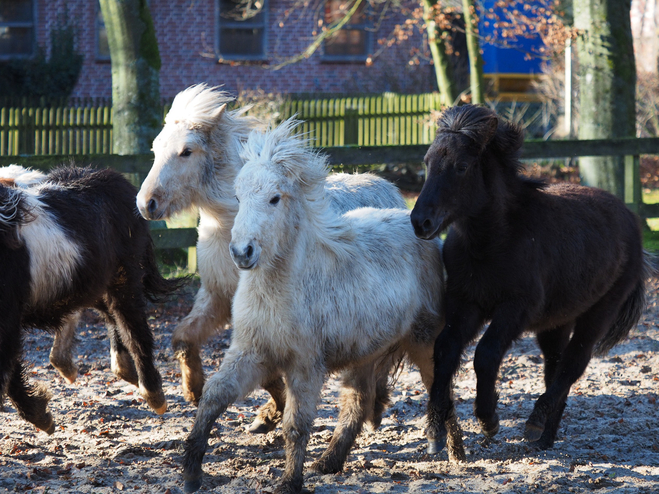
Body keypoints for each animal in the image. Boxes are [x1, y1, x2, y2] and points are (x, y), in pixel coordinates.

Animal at [0, 167, 183, 432]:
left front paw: (41, 416)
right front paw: (42, 415)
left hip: (123, 278)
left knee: (132, 327)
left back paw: (153, 394)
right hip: (91, 283)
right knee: (110, 315)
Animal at [137, 83, 408, 430]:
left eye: (187, 151)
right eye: (156, 148)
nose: (146, 203)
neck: (228, 226)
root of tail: (388, 188)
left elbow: (270, 373)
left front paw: (270, 413)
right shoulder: (217, 298)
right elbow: (183, 337)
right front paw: (194, 391)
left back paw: (375, 409)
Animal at [412, 106, 648, 454]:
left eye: (461, 166)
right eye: (427, 162)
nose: (420, 221)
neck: (491, 243)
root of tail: (630, 218)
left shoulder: (516, 307)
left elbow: (486, 354)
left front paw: (488, 420)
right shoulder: (465, 302)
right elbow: (445, 349)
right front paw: (434, 431)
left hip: (599, 311)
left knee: (573, 364)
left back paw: (535, 422)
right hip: (556, 321)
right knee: (555, 366)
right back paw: (544, 438)